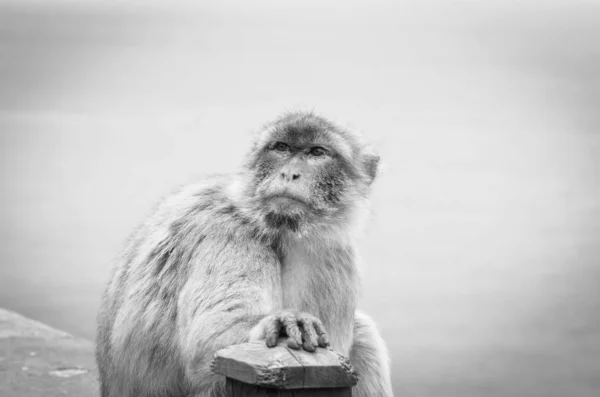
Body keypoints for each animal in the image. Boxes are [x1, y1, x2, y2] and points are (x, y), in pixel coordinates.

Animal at [95, 111, 394, 396]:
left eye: (317, 152)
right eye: (281, 147)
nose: (289, 174)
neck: (282, 233)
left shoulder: (334, 256)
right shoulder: (227, 233)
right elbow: (210, 333)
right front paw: (281, 323)